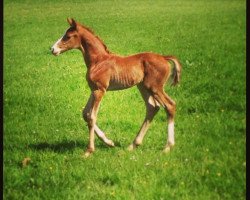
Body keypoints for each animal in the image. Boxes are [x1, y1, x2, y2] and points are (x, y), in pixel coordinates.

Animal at [50, 18, 182, 156]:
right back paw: (133, 145)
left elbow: (91, 117)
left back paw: (167, 146)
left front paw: (89, 150)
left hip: (155, 87)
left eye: (68, 36)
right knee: (152, 107)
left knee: (170, 105)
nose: (52, 49)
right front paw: (109, 142)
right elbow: (85, 114)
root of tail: (164, 57)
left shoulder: (100, 90)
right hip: (143, 87)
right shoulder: (94, 89)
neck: (99, 61)